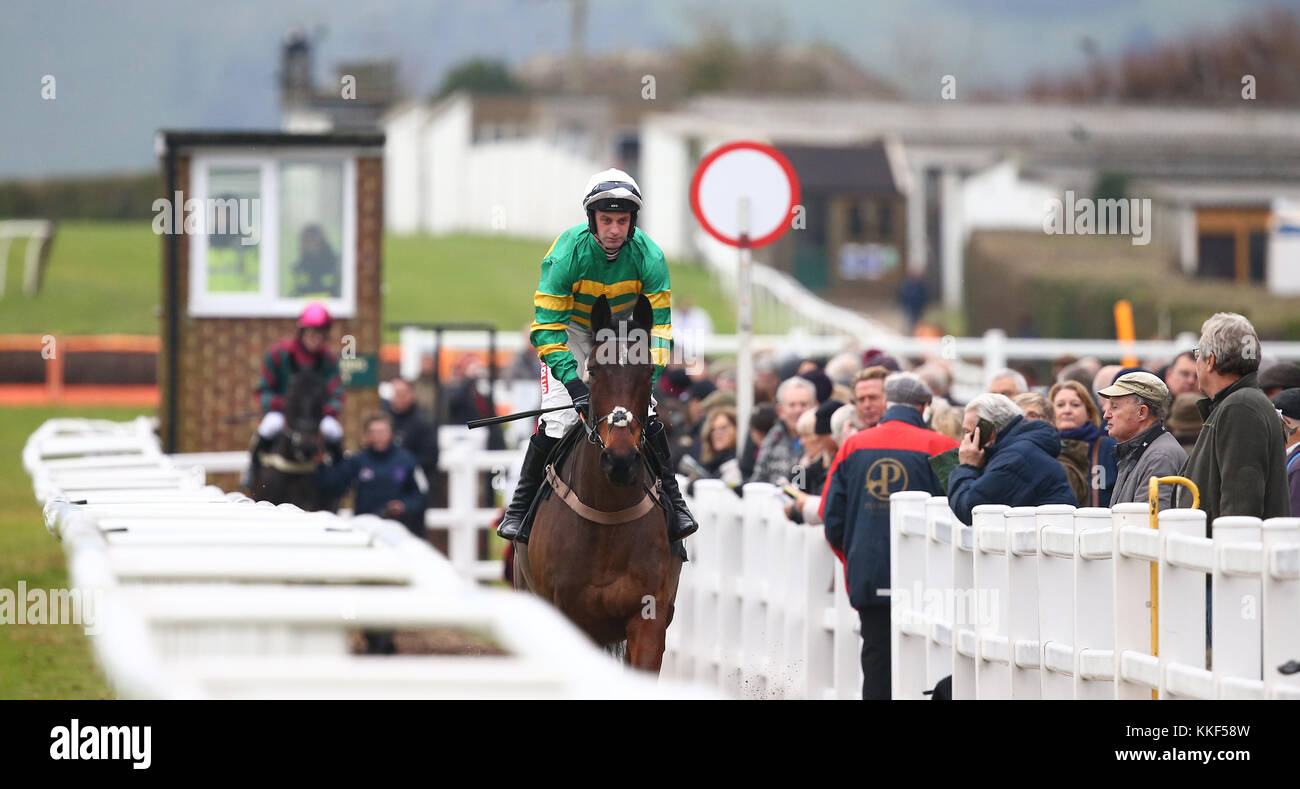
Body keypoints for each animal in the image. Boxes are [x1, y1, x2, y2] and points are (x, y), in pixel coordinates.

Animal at [512, 293, 686, 675]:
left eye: (647, 371)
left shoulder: (649, 619)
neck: (608, 517)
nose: (619, 461)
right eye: (592, 372)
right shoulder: (568, 619)